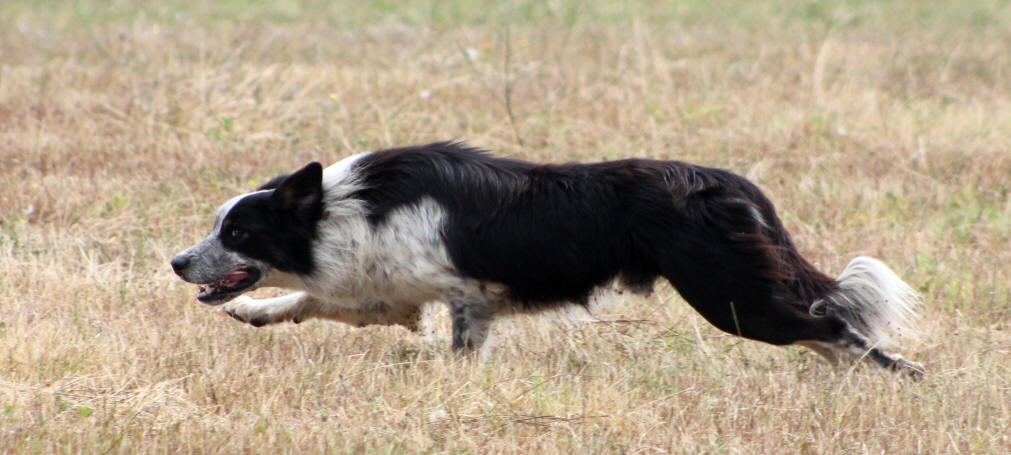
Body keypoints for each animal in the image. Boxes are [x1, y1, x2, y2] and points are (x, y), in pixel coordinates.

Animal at [173, 140, 926, 374]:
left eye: (237, 234)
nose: (178, 263)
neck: (339, 207)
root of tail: (725, 181)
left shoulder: (463, 297)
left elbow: (456, 349)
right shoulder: (391, 292)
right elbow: (312, 299)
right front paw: (257, 311)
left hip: (731, 296)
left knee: (835, 326)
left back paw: (900, 380)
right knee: (827, 329)